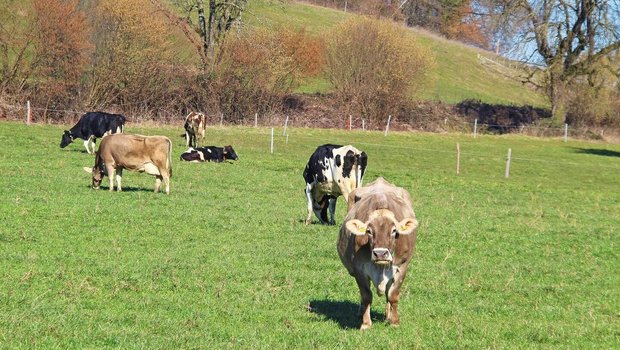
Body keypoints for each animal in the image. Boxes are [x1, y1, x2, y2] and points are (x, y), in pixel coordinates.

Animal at [336, 176, 418, 330]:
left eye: (394, 230)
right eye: (369, 231)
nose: (380, 254)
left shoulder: (402, 267)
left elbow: (393, 295)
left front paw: (394, 321)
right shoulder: (359, 269)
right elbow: (366, 296)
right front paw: (366, 323)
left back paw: (388, 314)